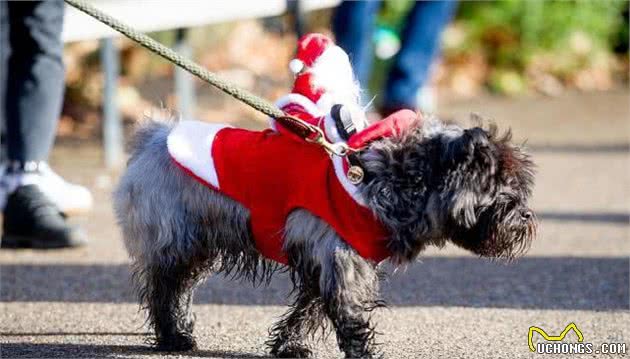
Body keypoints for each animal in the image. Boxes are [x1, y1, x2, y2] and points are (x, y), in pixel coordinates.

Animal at [115, 114, 540, 358]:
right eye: (501, 187)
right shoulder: (339, 260)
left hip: (196, 246)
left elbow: (308, 309)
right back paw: (172, 338)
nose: (525, 216)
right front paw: (360, 354)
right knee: (163, 288)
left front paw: (288, 346)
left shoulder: (325, 262)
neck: (391, 178)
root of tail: (154, 137)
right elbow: (346, 314)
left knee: (179, 288)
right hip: (177, 241)